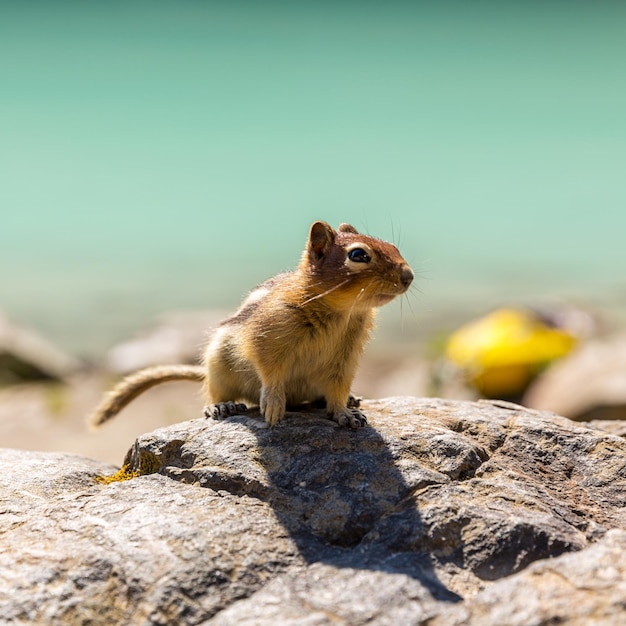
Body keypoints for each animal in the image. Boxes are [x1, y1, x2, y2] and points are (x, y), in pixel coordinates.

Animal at [88, 219, 410, 428]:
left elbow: (340, 387)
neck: (341, 311)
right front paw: (274, 405)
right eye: (358, 255)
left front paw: (344, 411)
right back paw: (222, 406)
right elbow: (269, 371)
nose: (409, 276)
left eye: (393, 246)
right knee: (215, 392)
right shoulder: (266, 336)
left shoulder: (347, 356)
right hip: (217, 366)